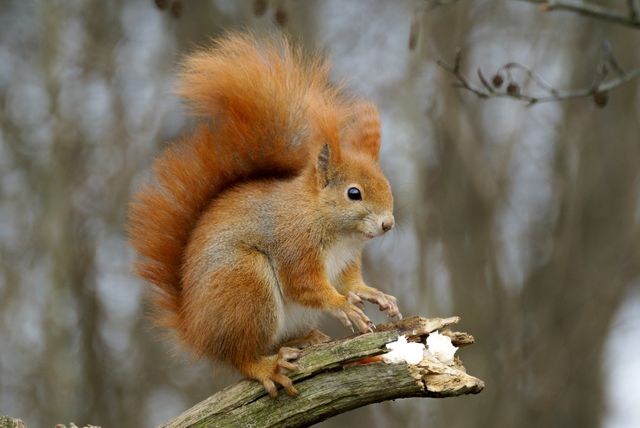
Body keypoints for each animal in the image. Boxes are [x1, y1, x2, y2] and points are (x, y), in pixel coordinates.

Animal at [129, 33, 400, 398]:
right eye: (353, 193)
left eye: (386, 184)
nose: (388, 224)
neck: (331, 227)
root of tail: (196, 331)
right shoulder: (294, 246)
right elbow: (305, 285)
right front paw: (342, 305)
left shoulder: (345, 262)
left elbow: (350, 282)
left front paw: (374, 294)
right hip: (245, 285)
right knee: (241, 356)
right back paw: (266, 366)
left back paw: (305, 339)